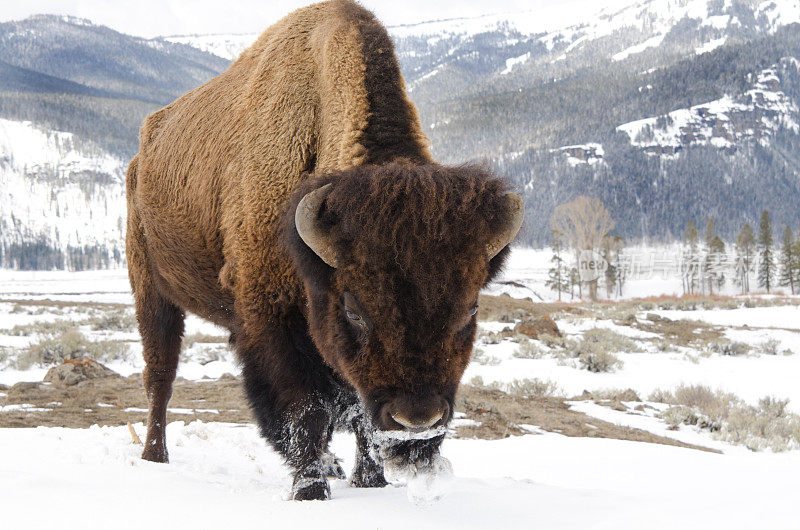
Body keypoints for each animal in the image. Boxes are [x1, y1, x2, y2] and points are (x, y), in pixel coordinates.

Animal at [126, 0, 520, 500]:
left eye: (471, 310)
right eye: (355, 310)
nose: (418, 420)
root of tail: (142, 154)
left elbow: (356, 413)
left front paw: (370, 481)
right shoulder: (273, 321)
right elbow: (305, 410)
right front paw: (310, 491)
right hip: (152, 291)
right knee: (160, 375)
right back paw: (154, 456)